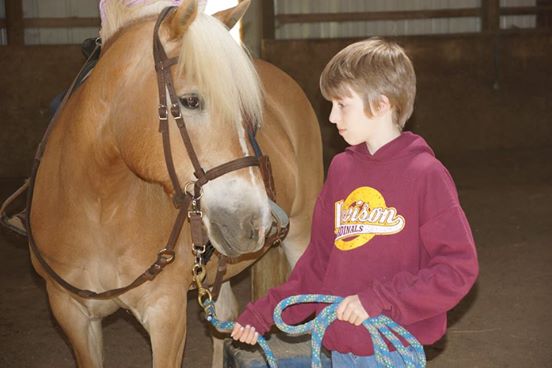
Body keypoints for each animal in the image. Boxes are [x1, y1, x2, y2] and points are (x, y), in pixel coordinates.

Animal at [29, 0, 324, 368]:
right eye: (191, 101)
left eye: (250, 114)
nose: (254, 222)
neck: (98, 208)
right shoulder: (73, 315)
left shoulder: (165, 314)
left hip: (302, 234)